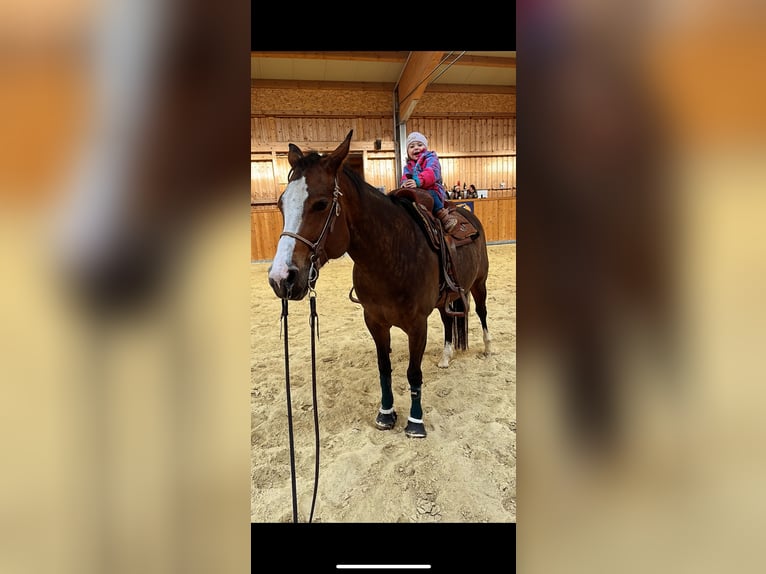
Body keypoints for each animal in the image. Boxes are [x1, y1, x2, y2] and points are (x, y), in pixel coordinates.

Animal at [267, 130, 492, 438]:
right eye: (281, 203)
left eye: (321, 204)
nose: (281, 277)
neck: (390, 256)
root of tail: (467, 214)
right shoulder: (374, 321)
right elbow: (384, 369)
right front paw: (386, 414)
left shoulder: (417, 325)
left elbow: (413, 373)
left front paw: (415, 422)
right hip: (445, 298)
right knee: (449, 321)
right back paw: (446, 357)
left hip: (479, 284)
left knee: (481, 313)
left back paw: (488, 348)